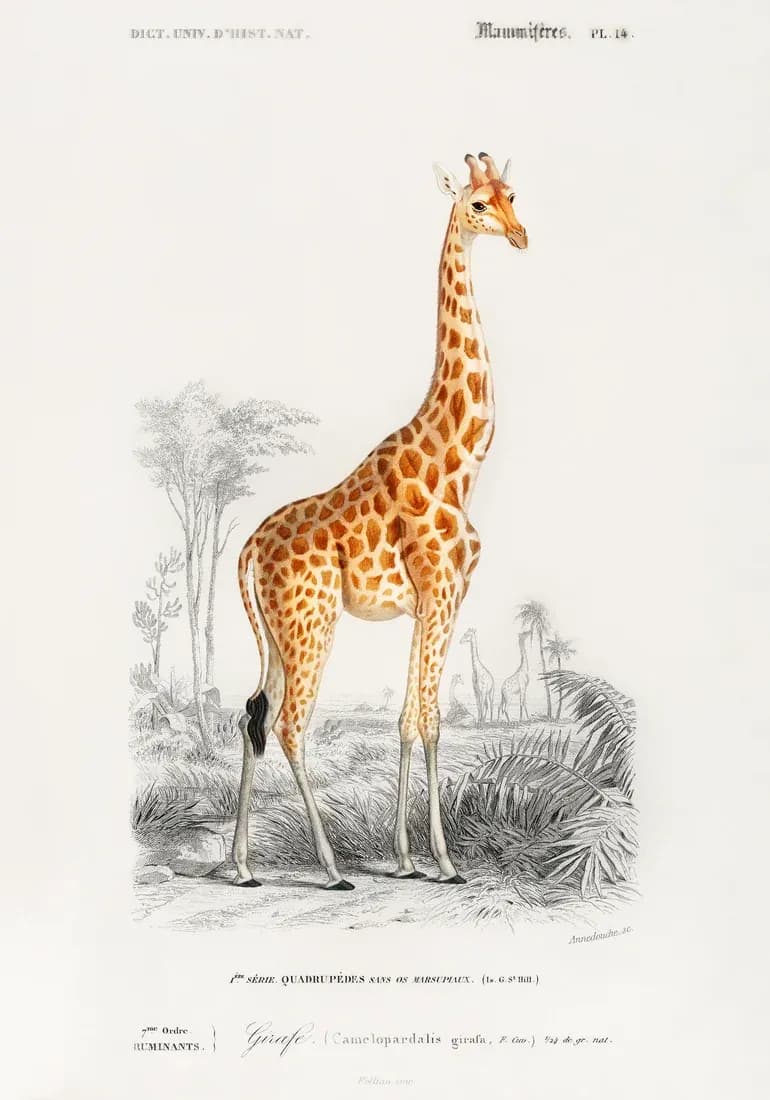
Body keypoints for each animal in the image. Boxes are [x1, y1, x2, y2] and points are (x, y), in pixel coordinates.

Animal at [233, 152, 527, 889]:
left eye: (513, 195)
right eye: (477, 204)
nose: (520, 236)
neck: (460, 461)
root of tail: (246, 550)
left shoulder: (430, 604)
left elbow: (407, 719)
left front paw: (406, 859)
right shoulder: (443, 593)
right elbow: (432, 719)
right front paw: (444, 862)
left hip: (277, 634)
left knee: (252, 715)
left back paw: (242, 866)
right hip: (311, 625)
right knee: (289, 725)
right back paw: (332, 868)